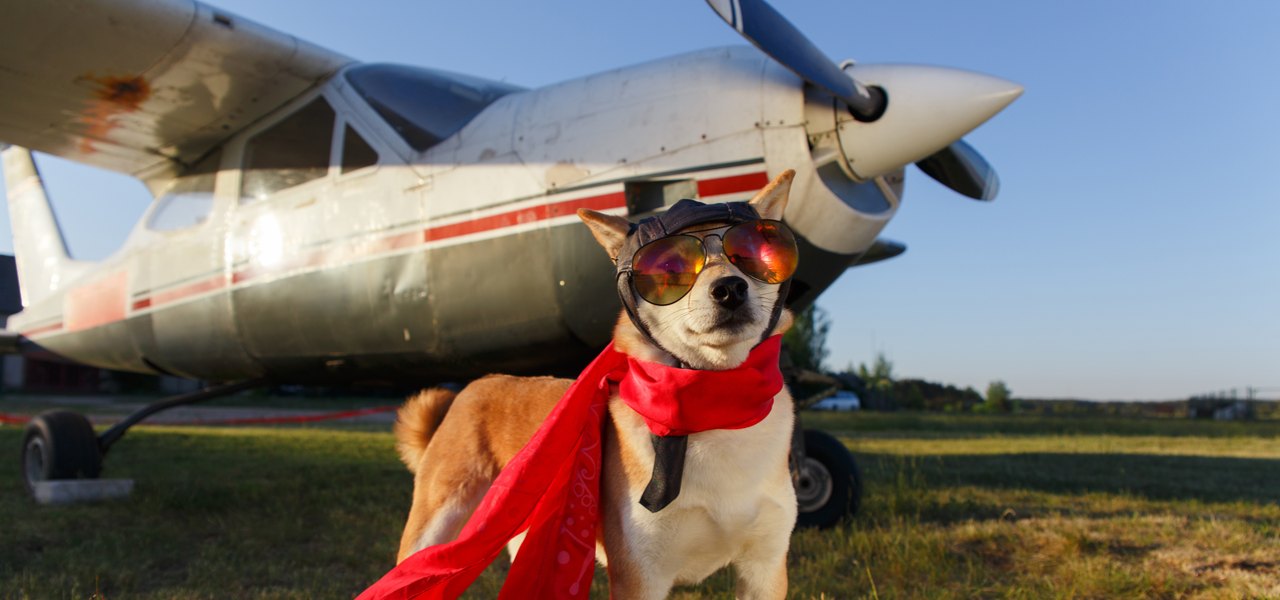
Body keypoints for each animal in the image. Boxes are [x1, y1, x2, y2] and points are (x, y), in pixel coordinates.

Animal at [394, 170, 793, 596]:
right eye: (671, 267)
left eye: (752, 254)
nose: (730, 288)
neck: (717, 409)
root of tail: (477, 383)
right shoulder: (640, 575)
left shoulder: (765, 567)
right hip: (432, 532)